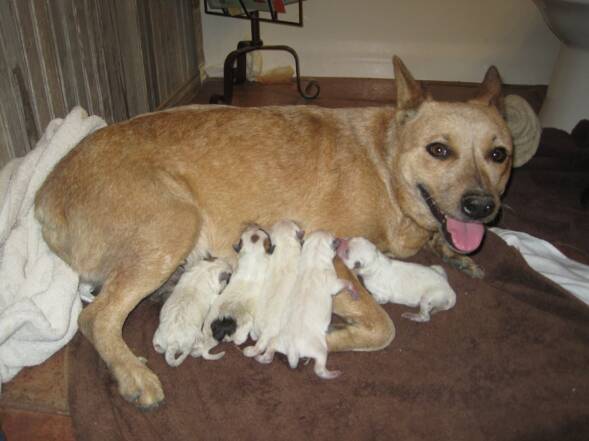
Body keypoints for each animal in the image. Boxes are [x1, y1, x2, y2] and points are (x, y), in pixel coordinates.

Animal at [256, 230, 350, 378]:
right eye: (334, 239)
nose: (339, 240)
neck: (314, 258)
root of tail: (292, 348)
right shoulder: (332, 280)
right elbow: (340, 284)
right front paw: (350, 286)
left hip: (278, 341)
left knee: (270, 350)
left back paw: (262, 358)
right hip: (320, 349)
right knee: (319, 368)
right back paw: (332, 374)